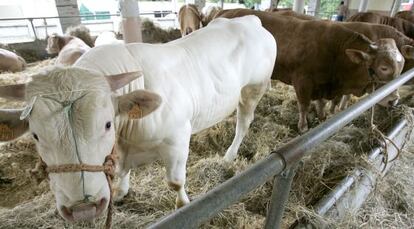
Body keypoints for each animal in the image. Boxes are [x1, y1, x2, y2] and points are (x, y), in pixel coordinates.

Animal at [0, 15, 278, 223]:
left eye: (107, 124)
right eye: (35, 135)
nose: (82, 209)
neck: (129, 131)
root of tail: (250, 20)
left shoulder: (177, 140)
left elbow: (175, 182)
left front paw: (183, 204)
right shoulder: (123, 147)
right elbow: (120, 171)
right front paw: (120, 192)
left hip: (253, 89)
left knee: (244, 123)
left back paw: (230, 155)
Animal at [218, 9, 410, 132]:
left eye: (401, 68)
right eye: (384, 67)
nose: (394, 101)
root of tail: (226, 13)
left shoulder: (323, 86)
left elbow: (321, 103)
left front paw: (322, 116)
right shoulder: (303, 81)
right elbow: (304, 105)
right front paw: (303, 127)